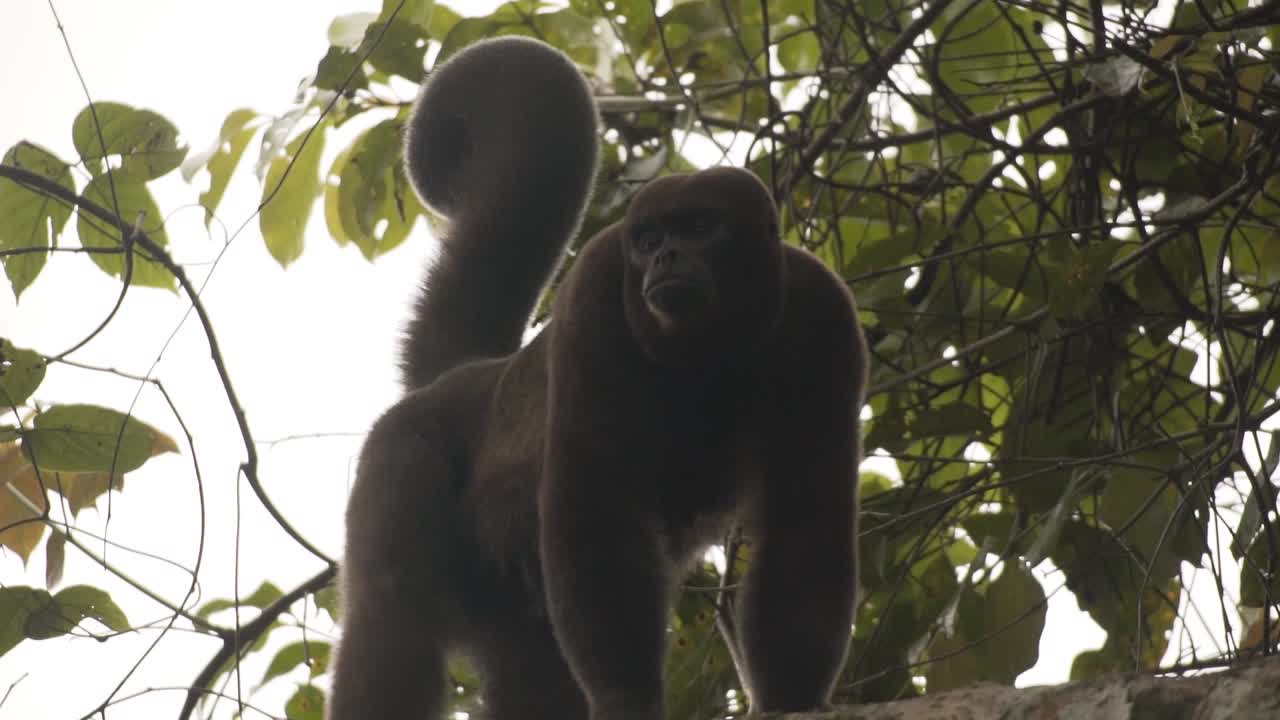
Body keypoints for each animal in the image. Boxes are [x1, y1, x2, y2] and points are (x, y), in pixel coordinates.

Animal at [328, 36, 868, 720]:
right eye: (649, 238)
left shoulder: (826, 318)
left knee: (533, 671)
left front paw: (794, 699)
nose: (667, 257)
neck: (713, 348)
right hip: (399, 455)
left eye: (700, 227)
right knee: (393, 615)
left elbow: (807, 520)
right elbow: (596, 514)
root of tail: (469, 377)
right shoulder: (597, 289)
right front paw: (626, 701)